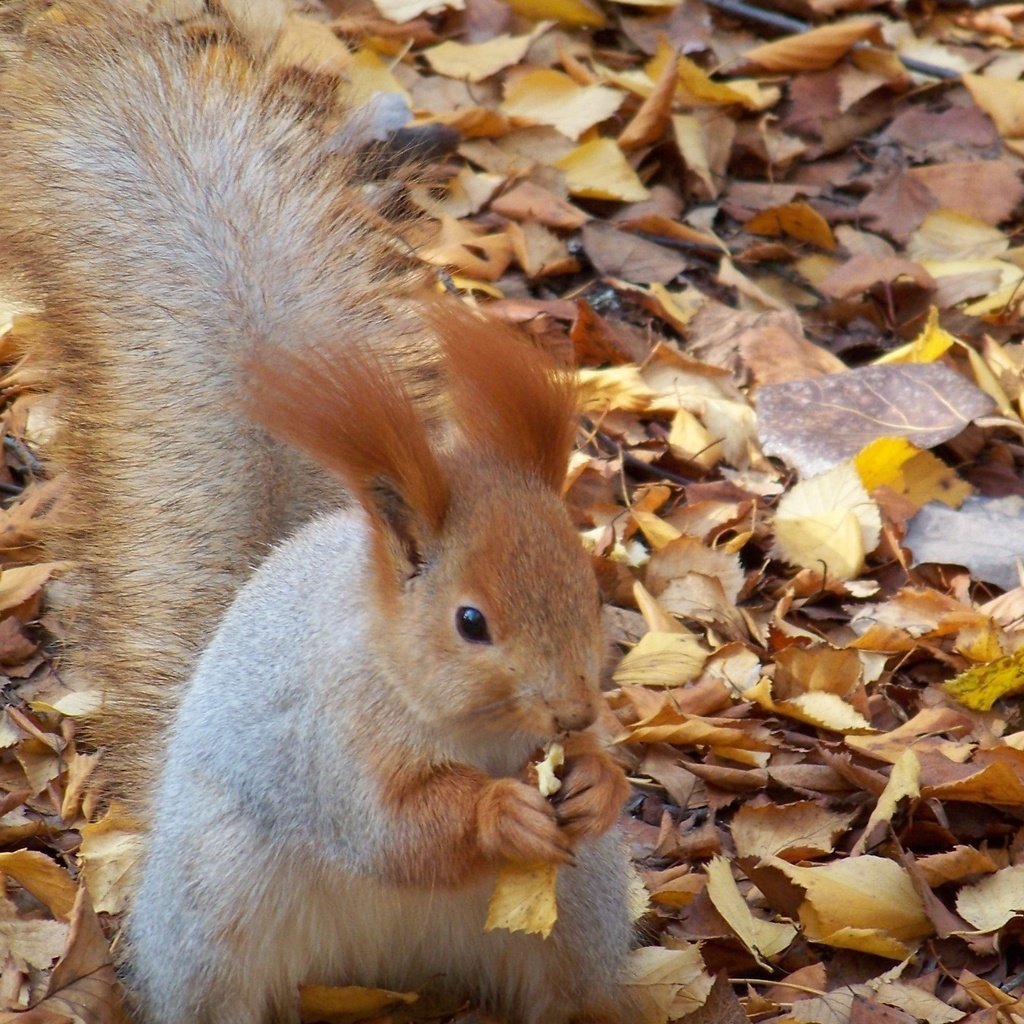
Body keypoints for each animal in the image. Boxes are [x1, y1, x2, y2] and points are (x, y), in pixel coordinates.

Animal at [0, 2, 634, 1024]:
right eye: (470, 622)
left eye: (591, 585)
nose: (575, 712)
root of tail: (384, 967)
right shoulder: (329, 742)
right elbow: (392, 832)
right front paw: (498, 812)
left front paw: (600, 781)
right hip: (217, 907)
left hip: (579, 910)